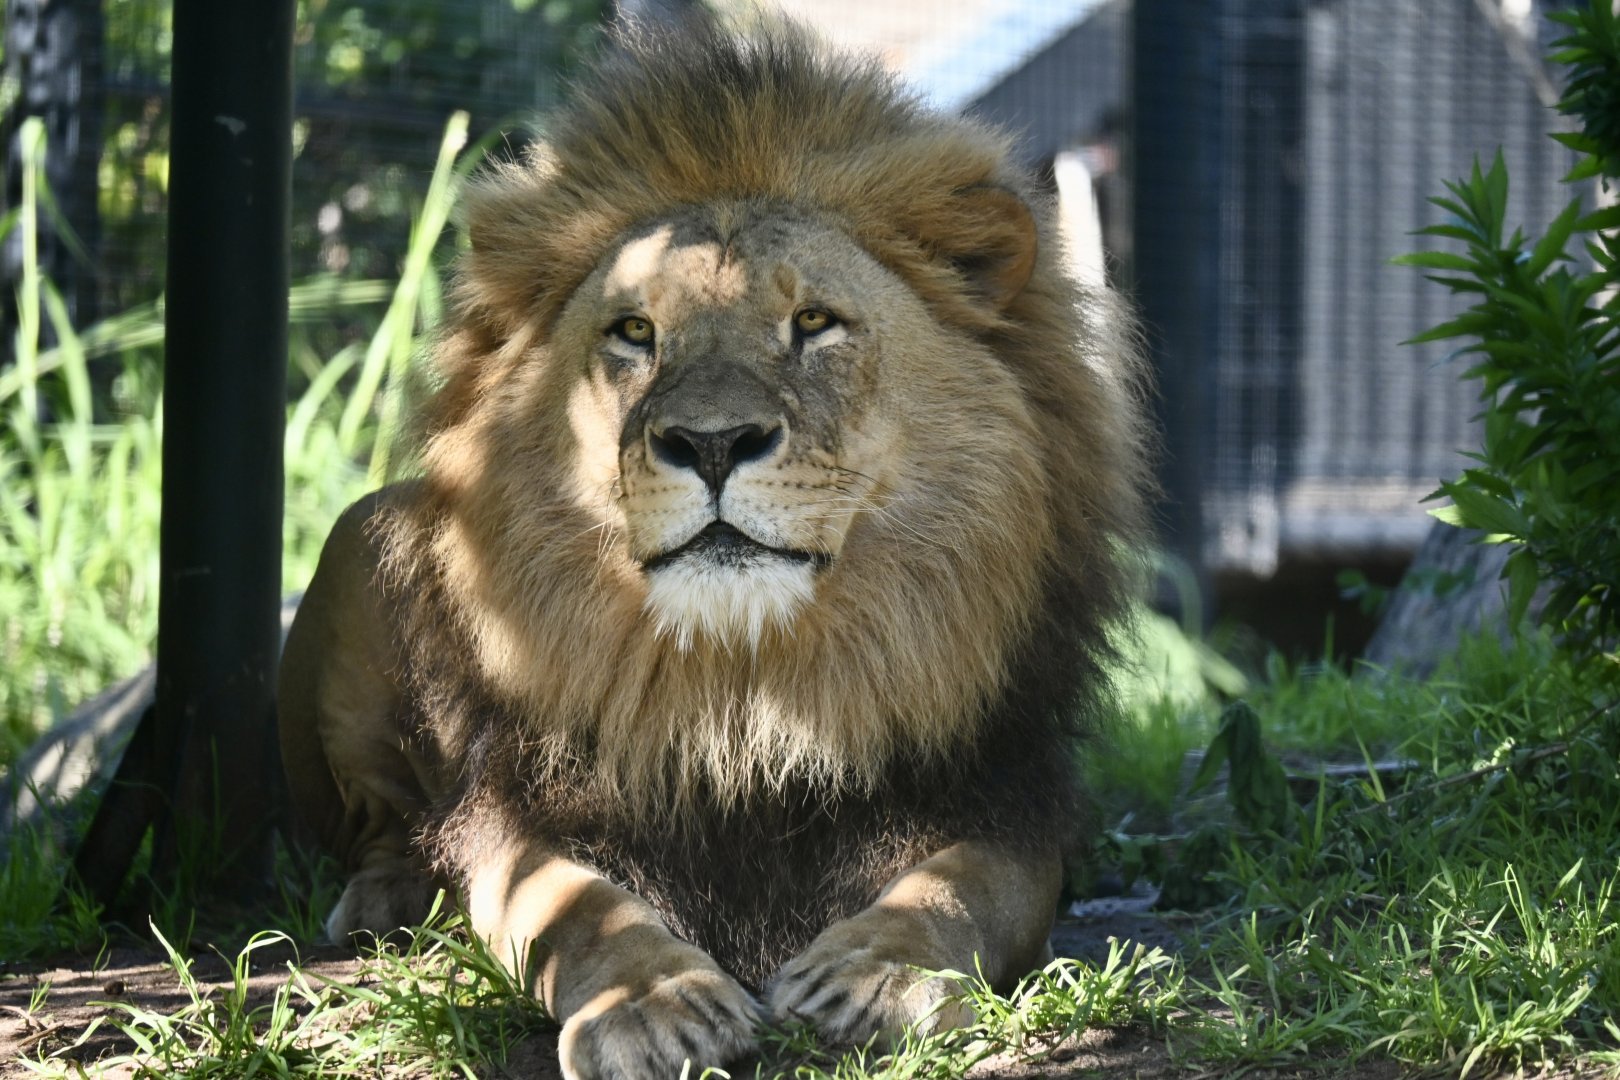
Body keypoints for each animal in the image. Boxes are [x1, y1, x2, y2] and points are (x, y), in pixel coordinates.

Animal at [278, 18, 1150, 1079]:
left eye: (813, 322)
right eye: (634, 331)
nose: (713, 442)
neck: (744, 694)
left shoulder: (1000, 795)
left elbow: (957, 888)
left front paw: (872, 976)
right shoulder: (527, 817)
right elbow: (579, 912)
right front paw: (655, 1006)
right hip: (365, 534)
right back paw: (391, 896)